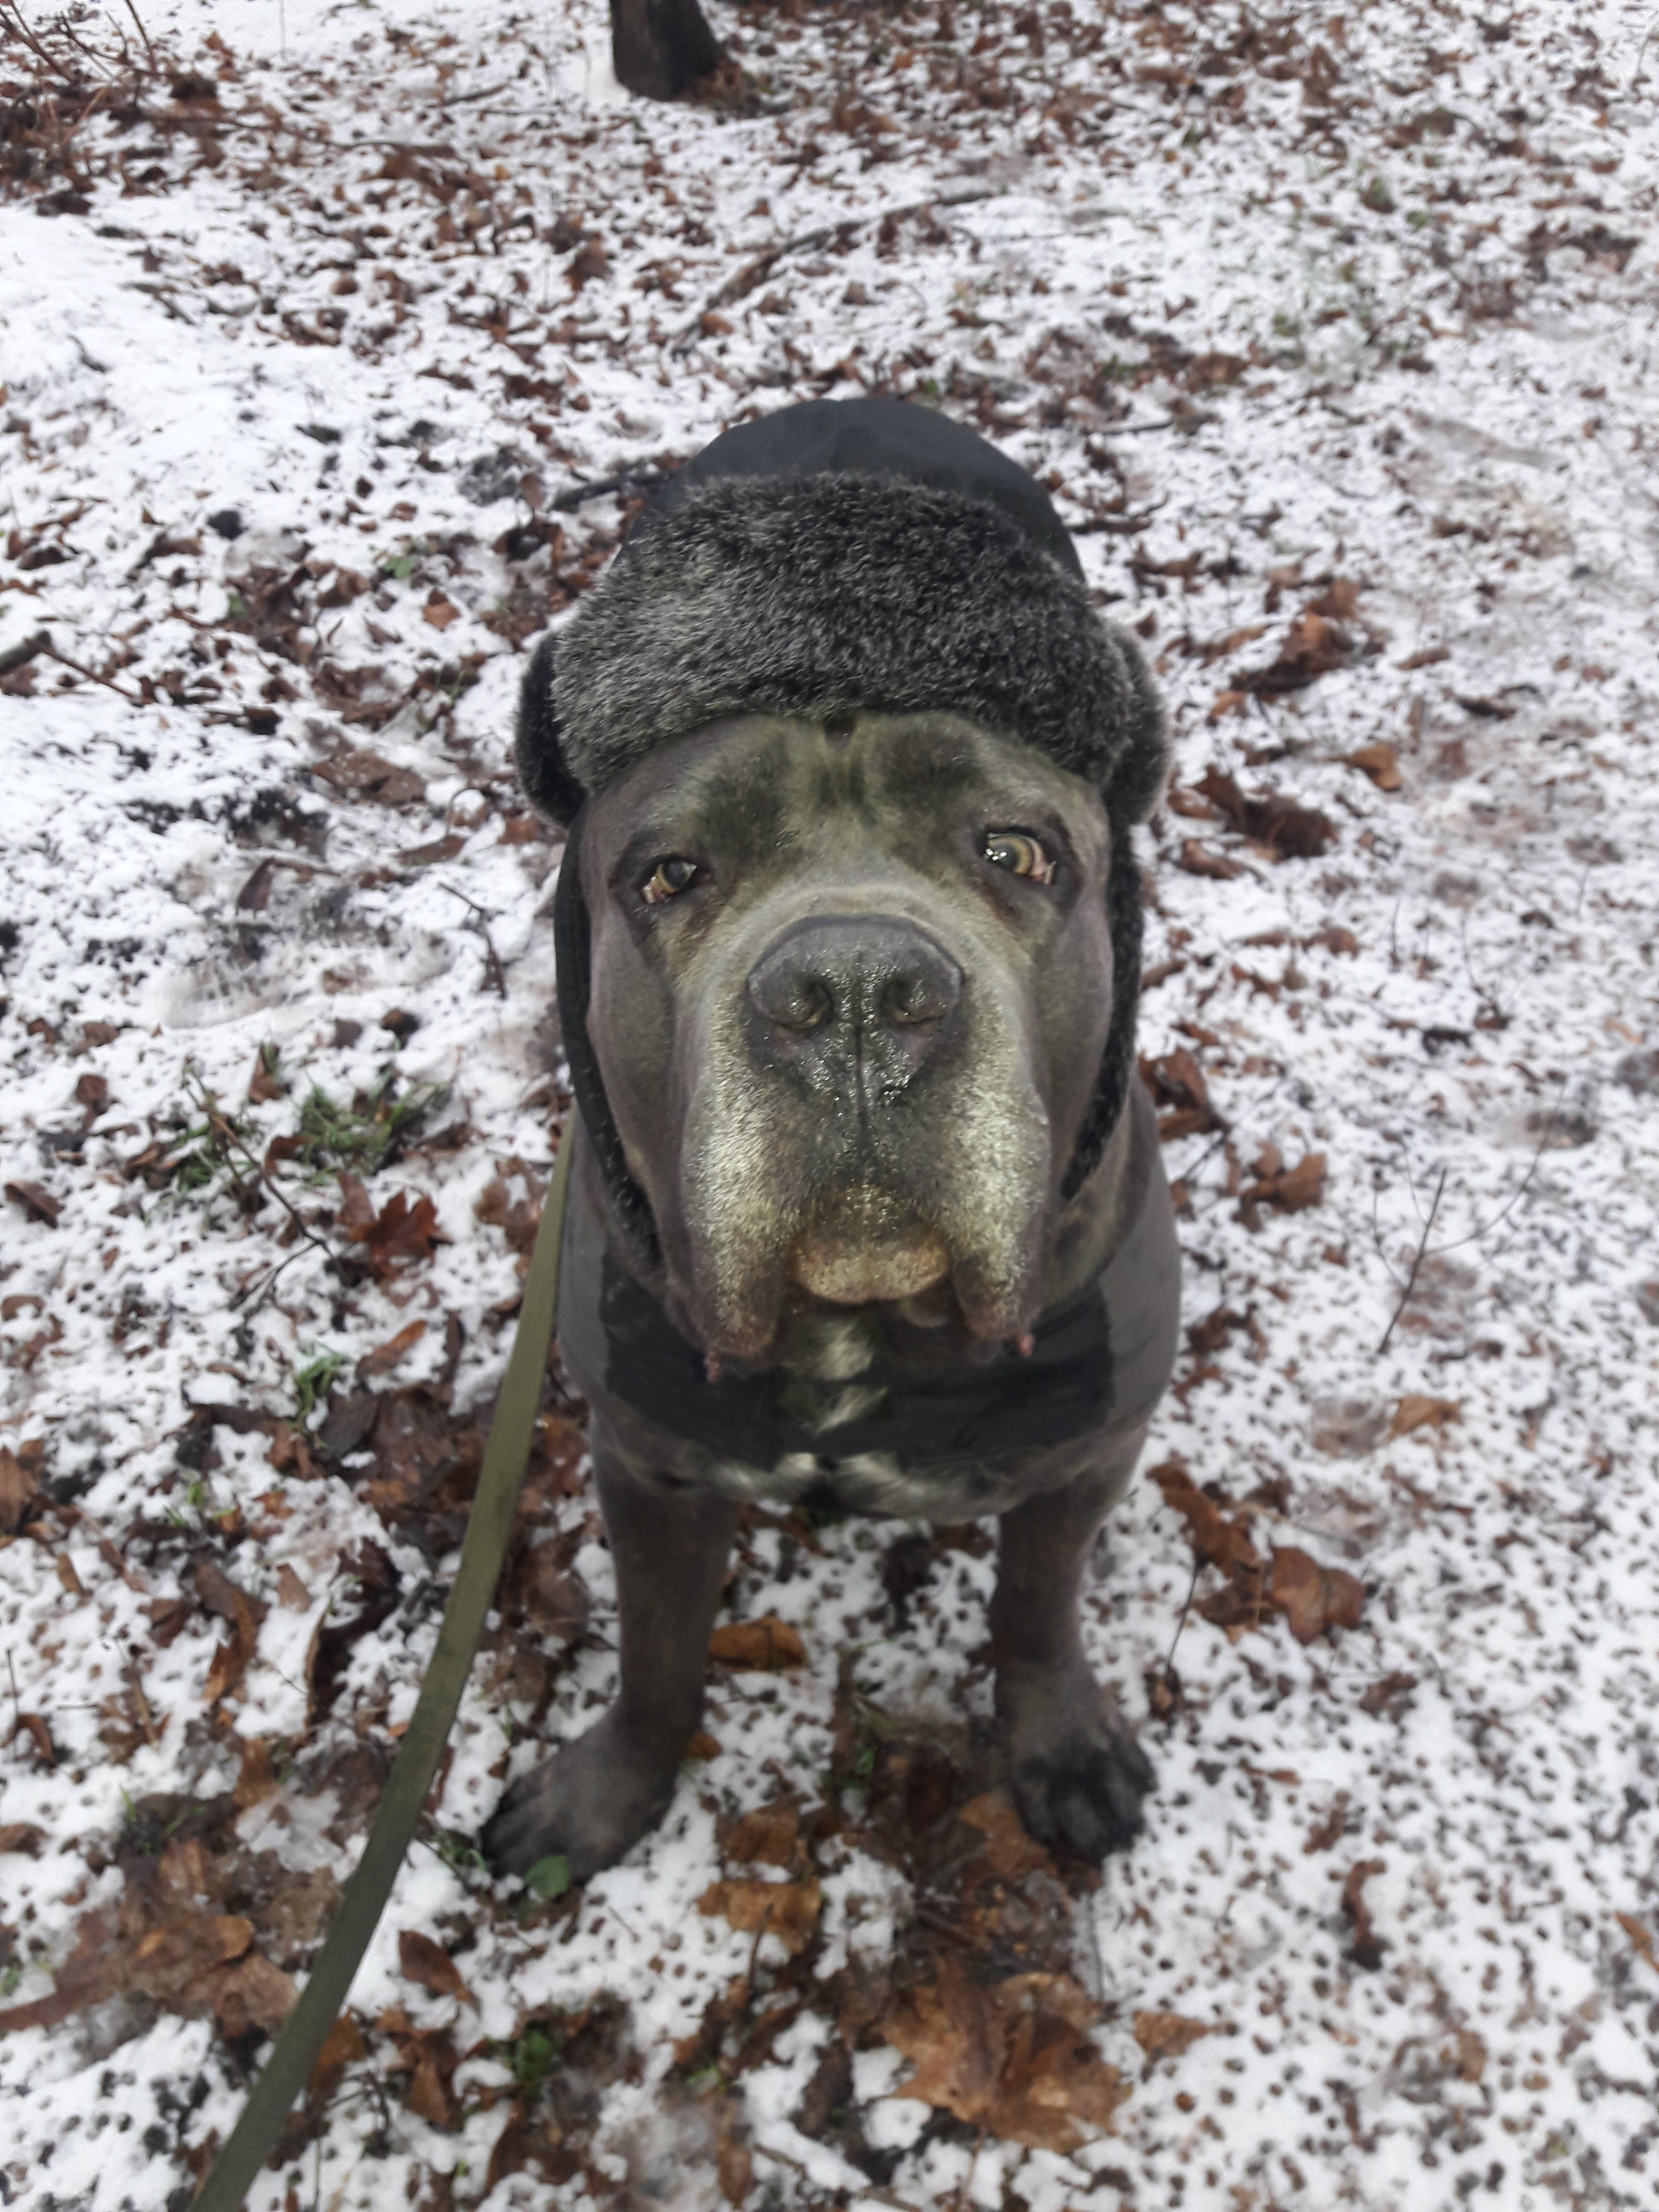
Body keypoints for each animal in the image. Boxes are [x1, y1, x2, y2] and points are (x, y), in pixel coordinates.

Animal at [480, 398, 1185, 1884]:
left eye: (1018, 853)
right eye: (668, 875)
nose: (855, 993)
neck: (859, 1337)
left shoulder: (1084, 1456)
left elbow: (1037, 1612)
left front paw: (1057, 1744)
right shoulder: (650, 1465)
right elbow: (656, 1658)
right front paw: (607, 1795)